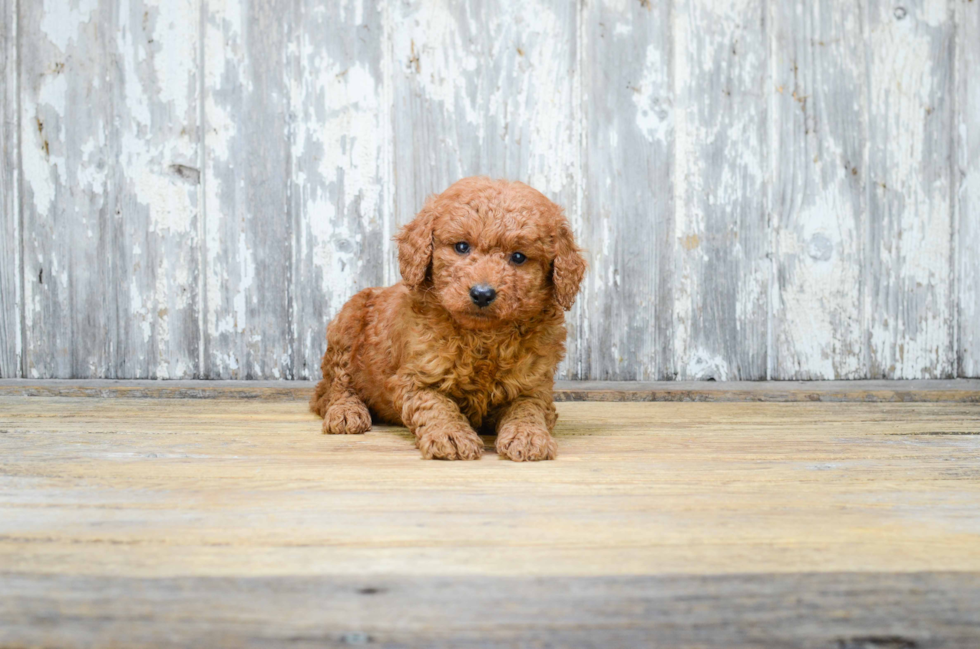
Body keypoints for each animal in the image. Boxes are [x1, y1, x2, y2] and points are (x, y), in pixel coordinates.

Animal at [310, 177, 584, 460]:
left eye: (518, 256)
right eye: (462, 246)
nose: (482, 294)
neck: (483, 336)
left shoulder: (534, 386)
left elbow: (528, 408)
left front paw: (527, 435)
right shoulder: (414, 379)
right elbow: (436, 405)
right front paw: (450, 435)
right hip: (347, 324)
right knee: (333, 387)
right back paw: (346, 412)